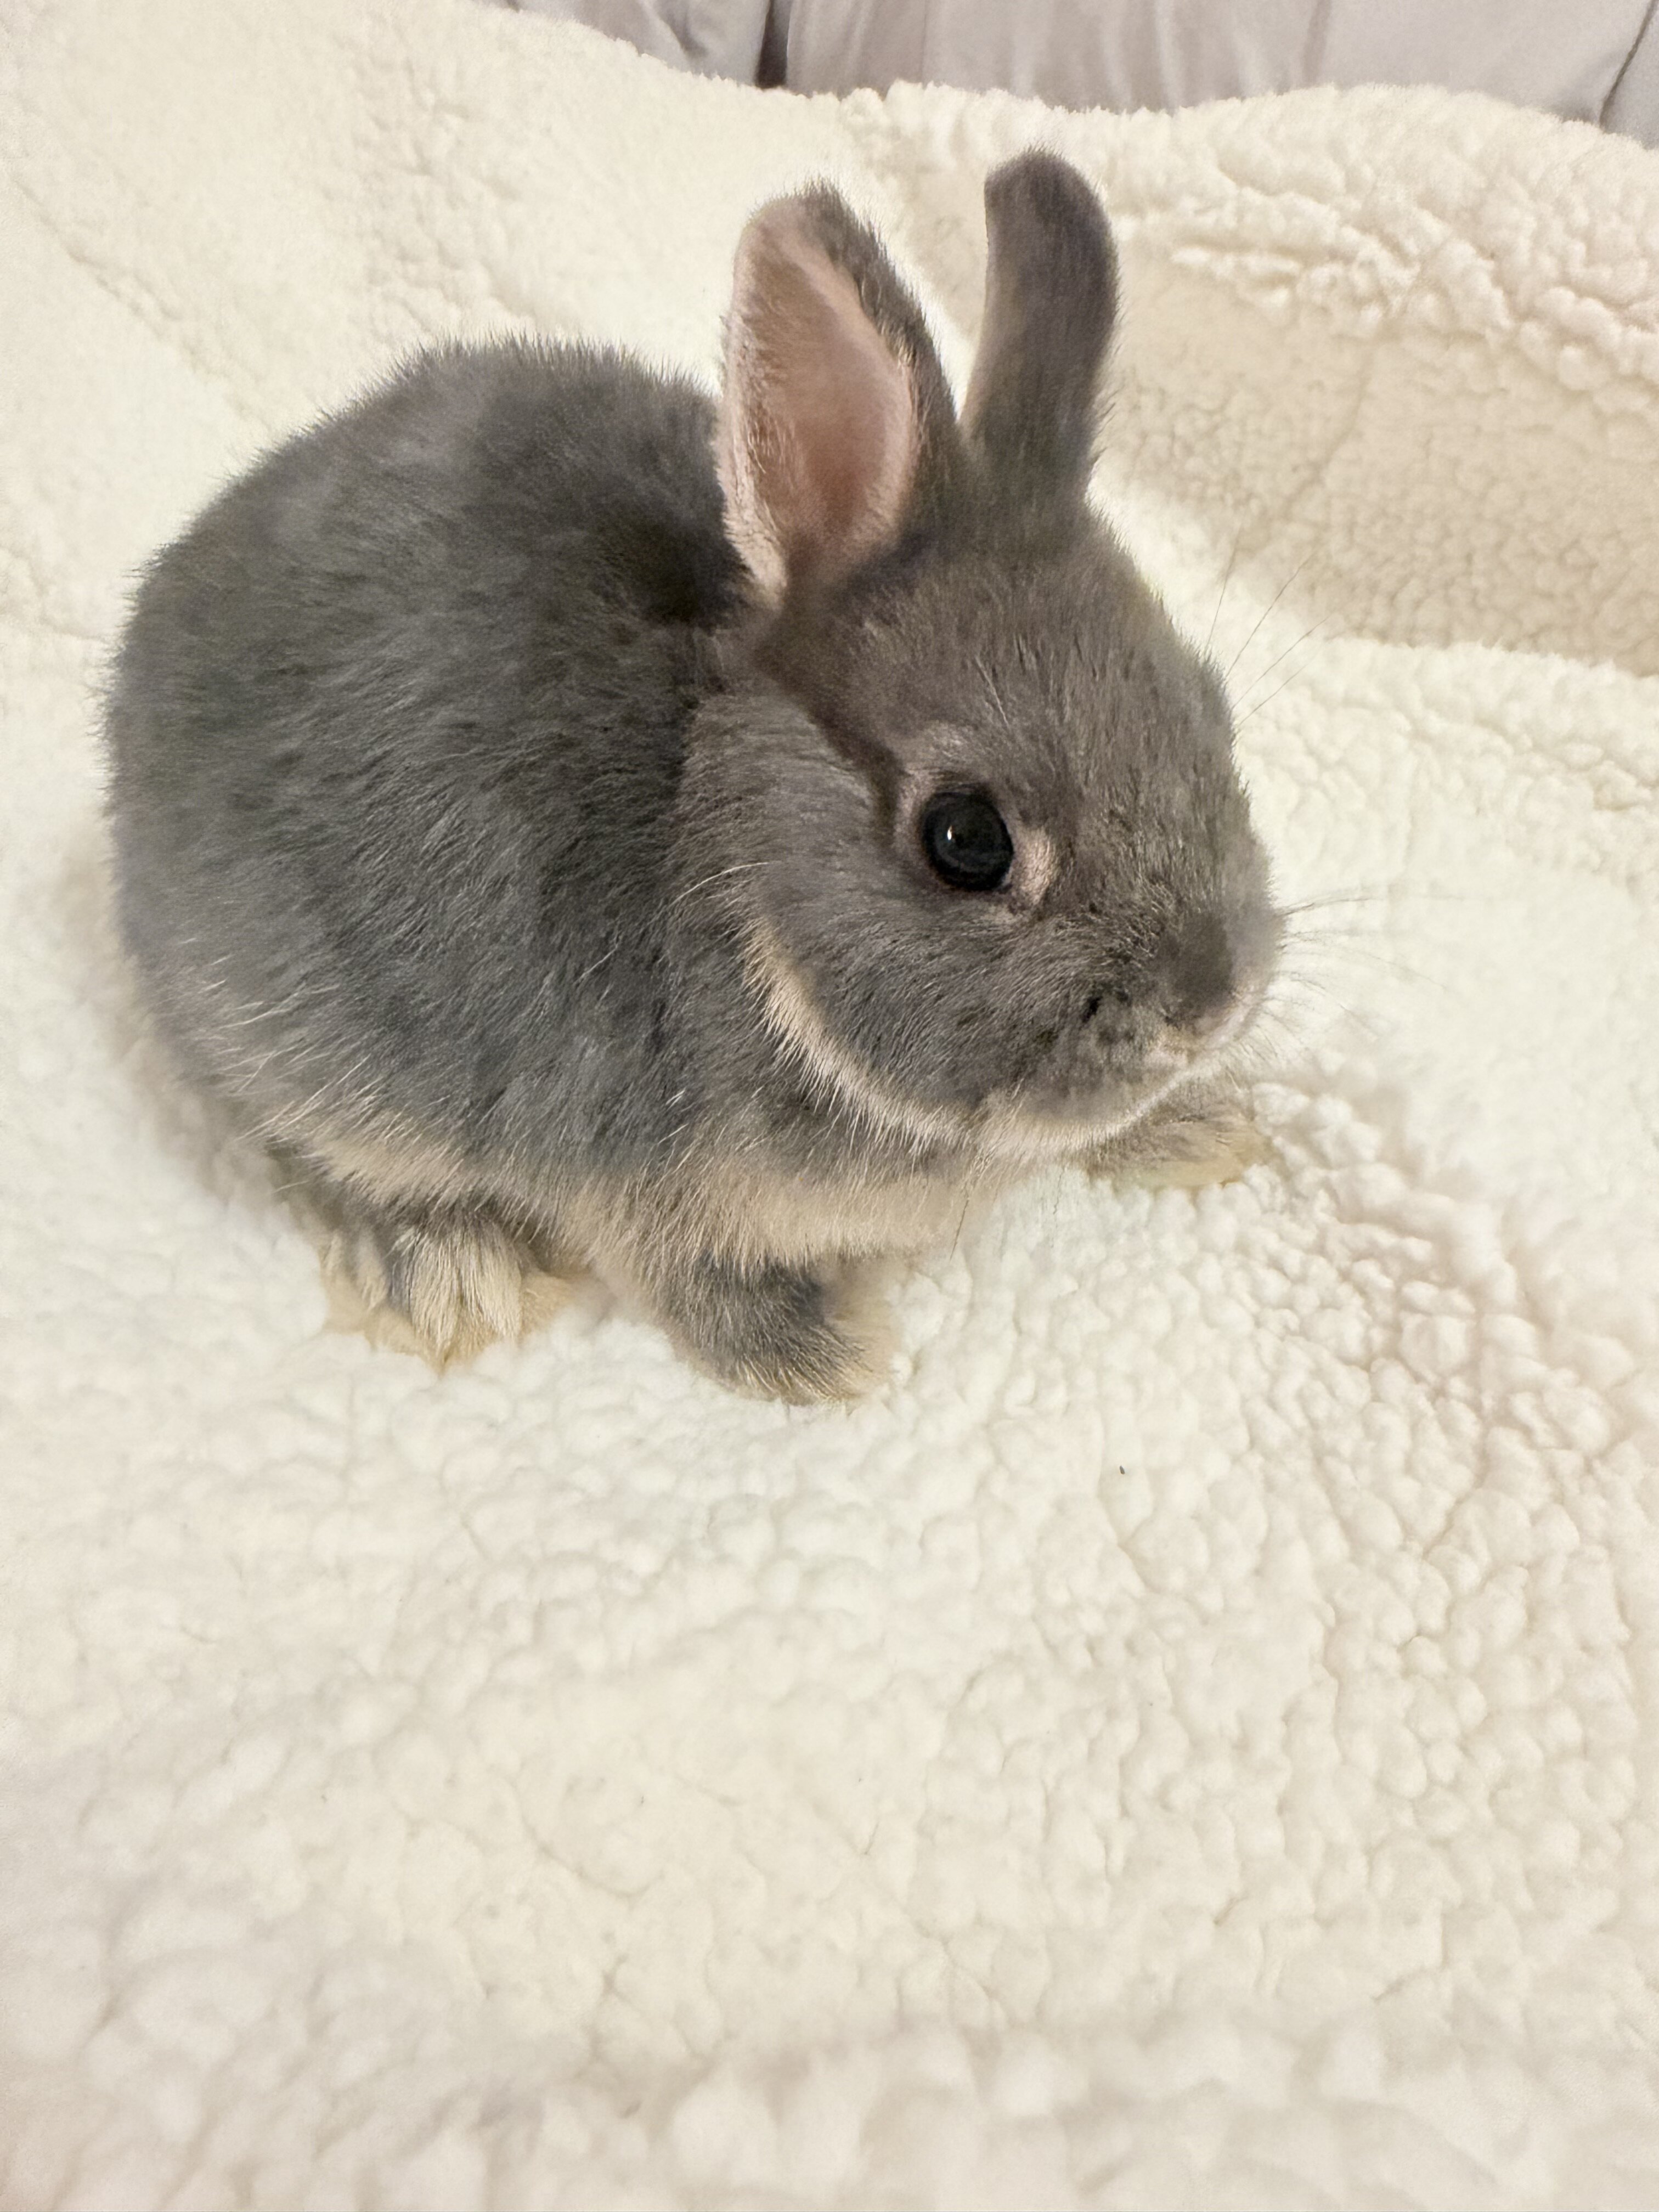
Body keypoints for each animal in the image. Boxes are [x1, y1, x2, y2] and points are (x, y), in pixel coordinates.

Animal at [104, 151, 1281, 1402]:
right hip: (295, 1045)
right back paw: (445, 1270)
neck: (742, 876)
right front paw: (826, 1357)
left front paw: (1207, 1129)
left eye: (1210, 709)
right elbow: (694, 1287)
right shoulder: (632, 1178)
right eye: (967, 839)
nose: (1208, 1007)